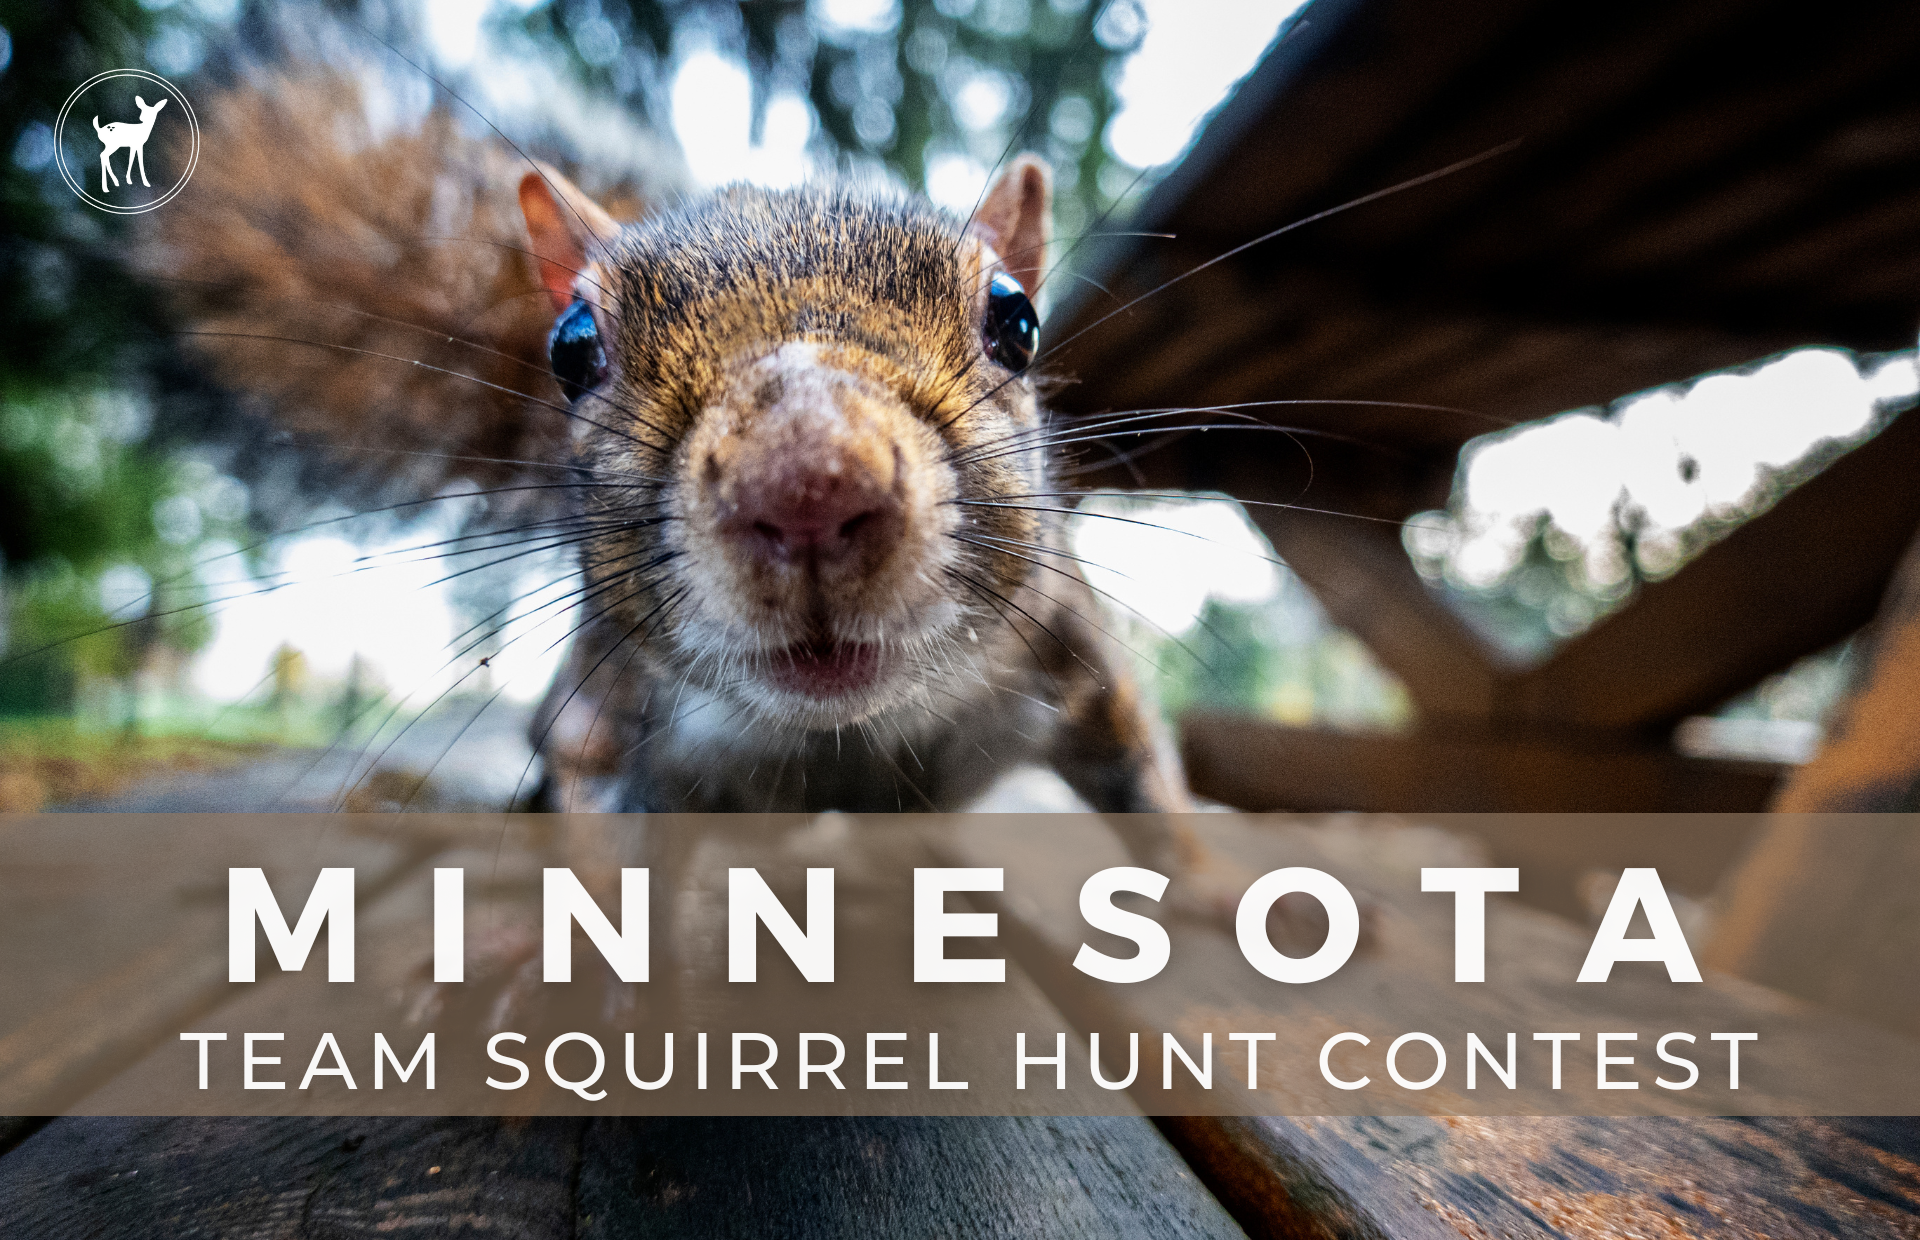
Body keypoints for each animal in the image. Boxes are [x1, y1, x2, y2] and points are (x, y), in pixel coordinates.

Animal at [141, 64, 1250, 1019]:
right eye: (572, 348)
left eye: (1016, 322)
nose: (807, 488)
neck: (842, 731)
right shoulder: (602, 718)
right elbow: (599, 846)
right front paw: (559, 960)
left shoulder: (1070, 648)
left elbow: (1147, 780)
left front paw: (1223, 890)